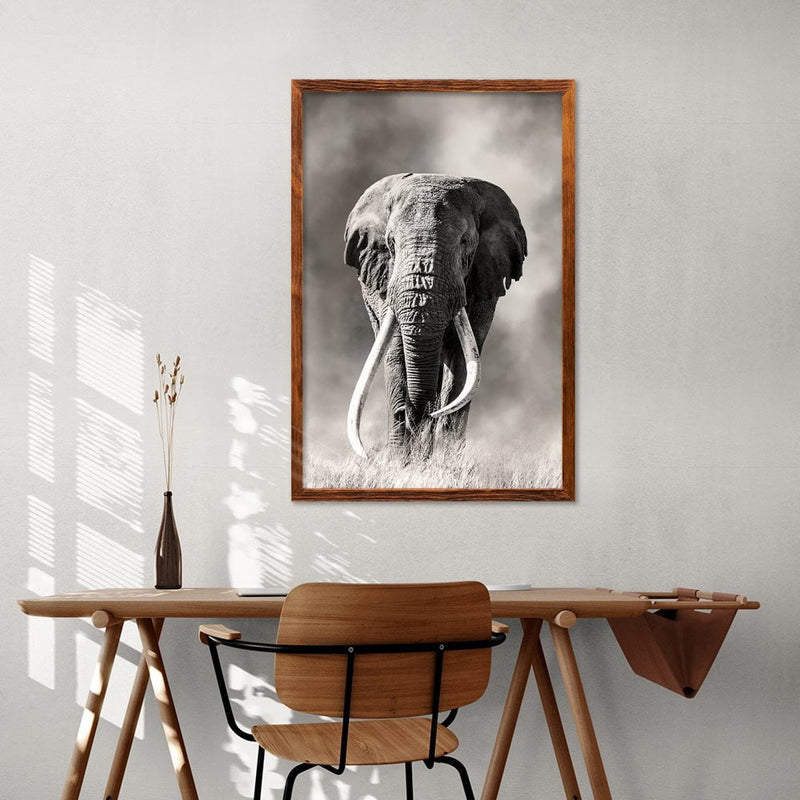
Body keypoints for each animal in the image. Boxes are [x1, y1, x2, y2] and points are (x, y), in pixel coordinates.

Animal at [344, 172, 527, 459]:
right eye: (391, 243)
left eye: (465, 243)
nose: (413, 414)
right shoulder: (385, 279)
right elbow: (396, 351)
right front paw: (401, 461)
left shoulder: (485, 279)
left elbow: (463, 360)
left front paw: (445, 459)